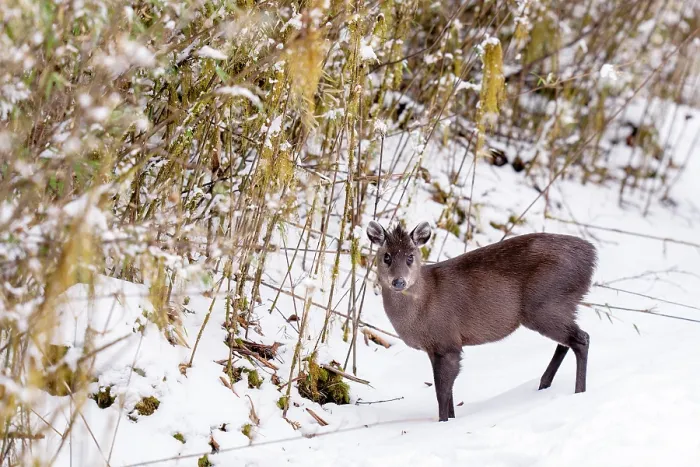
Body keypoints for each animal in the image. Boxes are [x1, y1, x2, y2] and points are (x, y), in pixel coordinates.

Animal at [366, 221, 597, 422]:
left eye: (410, 257)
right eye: (386, 257)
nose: (398, 282)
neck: (423, 306)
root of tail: (592, 256)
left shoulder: (446, 340)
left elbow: (442, 393)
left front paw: (443, 423)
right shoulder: (437, 348)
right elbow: (448, 393)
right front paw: (451, 420)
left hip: (546, 302)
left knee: (581, 338)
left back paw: (579, 391)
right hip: (558, 306)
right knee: (566, 342)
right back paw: (544, 385)